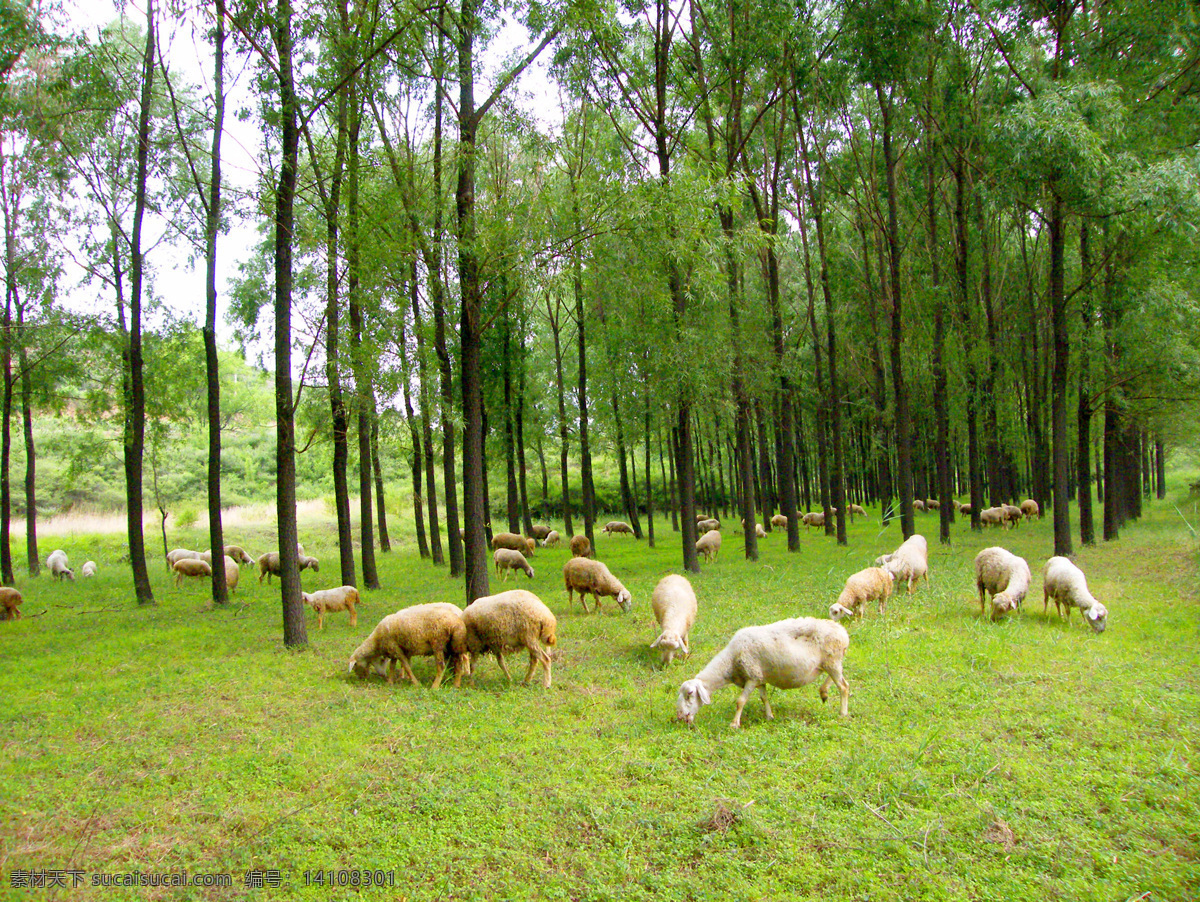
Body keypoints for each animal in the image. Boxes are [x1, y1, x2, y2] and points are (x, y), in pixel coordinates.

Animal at [676, 618, 854, 729]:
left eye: (690, 694)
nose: (680, 717)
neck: (730, 662)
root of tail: (843, 632)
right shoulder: (759, 678)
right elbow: (764, 698)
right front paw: (769, 716)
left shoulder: (752, 676)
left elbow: (740, 701)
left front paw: (734, 724)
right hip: (831, 662)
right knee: (838, 680)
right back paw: (824, 692)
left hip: (832, 661)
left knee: (844, 687)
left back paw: (842, 713)